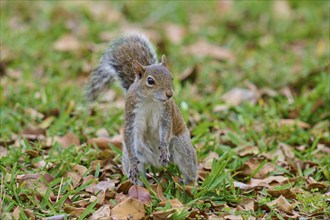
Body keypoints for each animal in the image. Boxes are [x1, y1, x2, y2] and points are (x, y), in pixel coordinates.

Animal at [86, 34, 197, 184]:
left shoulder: (166, 112)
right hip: (135, 152)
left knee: (188, 166)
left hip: (181, 146)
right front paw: (133, 163)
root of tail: (155, 163)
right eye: (150, 81)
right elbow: (129, 132)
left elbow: (166, 129)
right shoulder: (131, 113)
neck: (150, 100)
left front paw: (163, 148)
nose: (169, 94)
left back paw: (189, 184)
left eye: (171, 77)